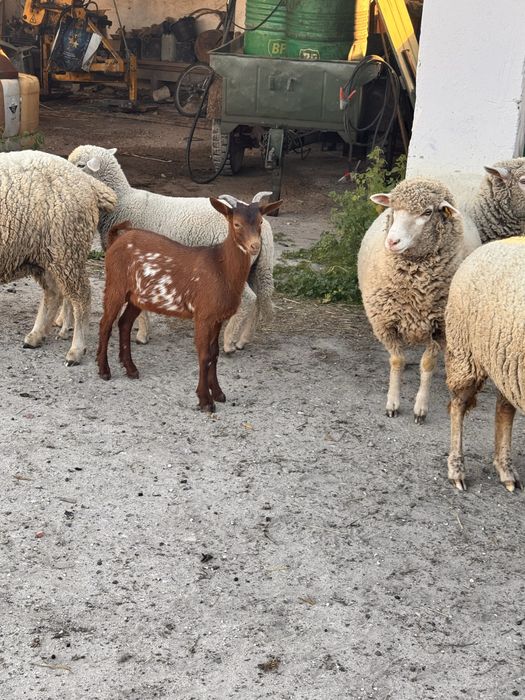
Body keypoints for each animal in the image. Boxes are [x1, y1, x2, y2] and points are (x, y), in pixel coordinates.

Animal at [0, 149, 116, 365]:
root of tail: (87, 182)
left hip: (67, 248)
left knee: (81, 297)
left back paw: (76, 350)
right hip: (46, 254)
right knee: (53, 294)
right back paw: (36, 336)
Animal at [67, 144, 276, 353]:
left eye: (81, 165)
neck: (122, 202)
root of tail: (262, 225)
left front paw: (142, 335)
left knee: (249, 299)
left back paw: (229, 342)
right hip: (257, 266)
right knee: (260, 298)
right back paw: (243, 340)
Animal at [96, 195, 283, 412]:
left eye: (260, 222)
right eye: (236, 223)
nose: (255, 246)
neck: (221, 267)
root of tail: (115, 240)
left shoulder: (217, 317)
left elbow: (214, 354)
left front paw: (218, 393)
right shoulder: (203, 314)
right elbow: (204, 355)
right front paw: (205, 401)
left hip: (137, 295)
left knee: (124, 323)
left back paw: (131, 369)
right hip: (115, 284)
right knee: (106, 323)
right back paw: (104, 371)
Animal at [358, 178, 481, 423]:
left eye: (427, 212)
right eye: (394, 208)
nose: (392, 241)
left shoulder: (440, 329)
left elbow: (428, 364)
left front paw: (420, 408)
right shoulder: (386, 324)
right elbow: (397, 361)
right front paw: (392, 404)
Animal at [445, 238, 525, 492]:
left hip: (506, 364)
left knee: (504, 410)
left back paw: (506, 470)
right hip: (465, 352)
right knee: (458, 405)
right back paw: (457, 470)